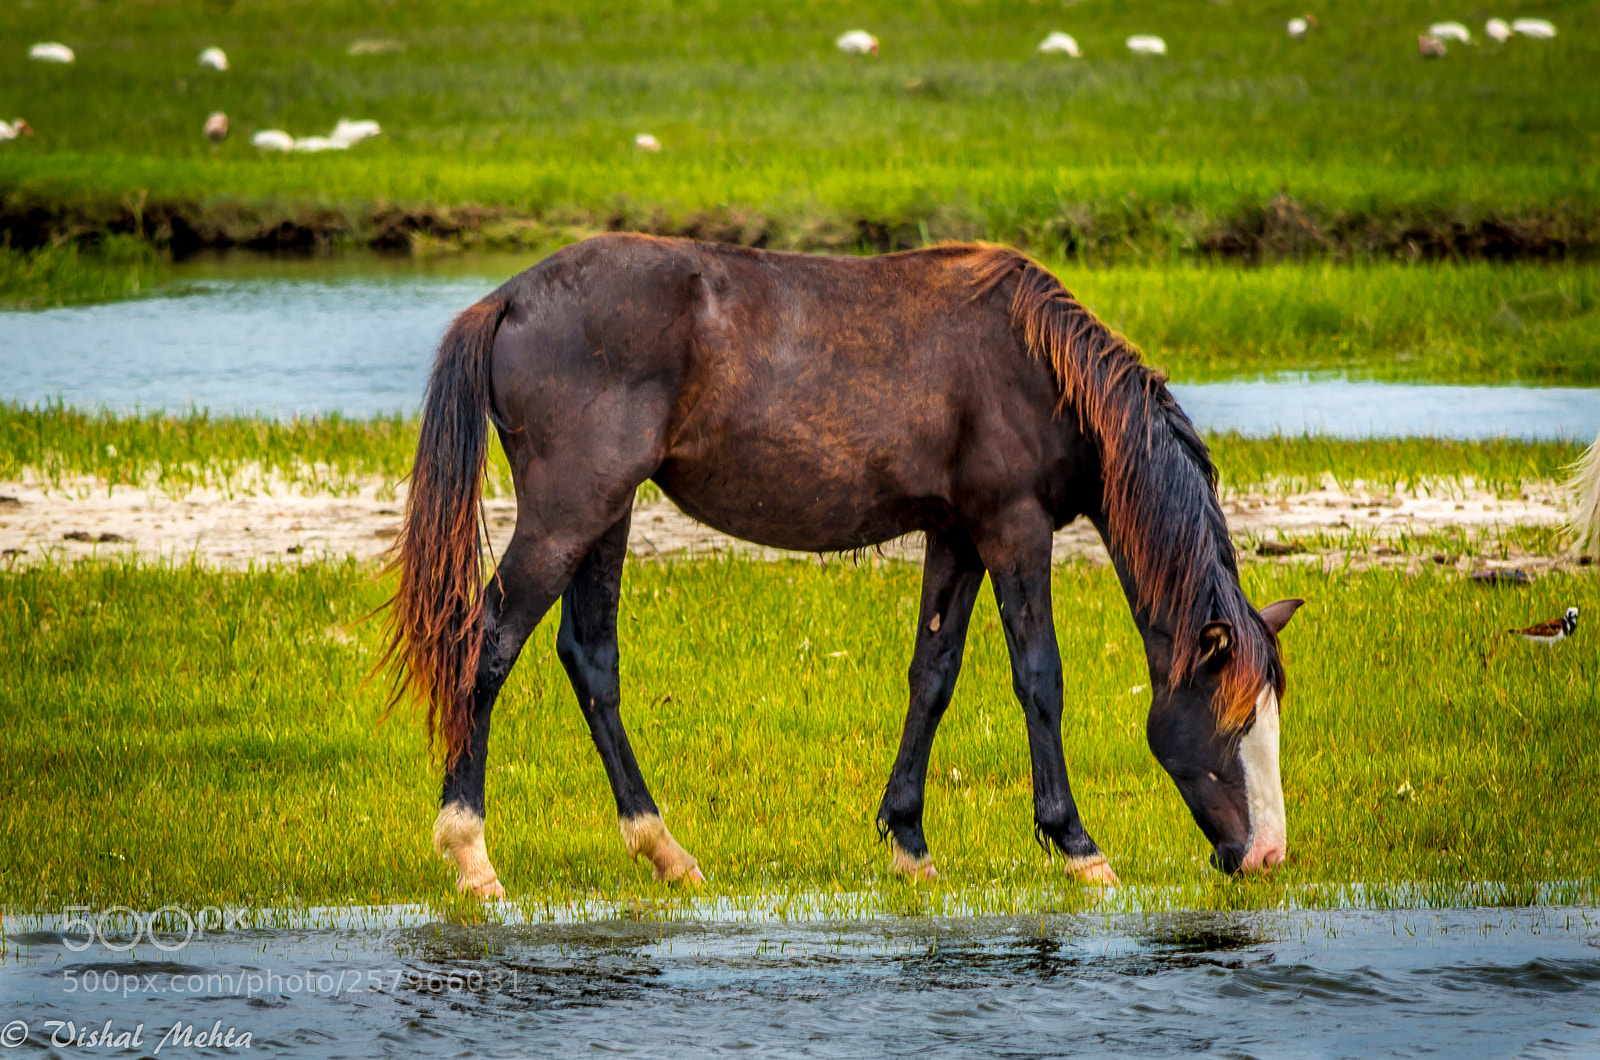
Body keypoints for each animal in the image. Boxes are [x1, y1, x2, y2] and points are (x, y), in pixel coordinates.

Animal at [382, 234, 1304, 897]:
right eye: (1232, 723)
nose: (1265, 857)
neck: (1041, 368)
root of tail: (509, 299)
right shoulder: (1013, 527)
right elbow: (1039, 676)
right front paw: (1077, 846)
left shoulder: (957, 535)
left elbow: (933, 676)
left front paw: (909, 841)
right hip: (567, 512)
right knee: (487, 645)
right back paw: (470, 853)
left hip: (604, 515)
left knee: (590, 659)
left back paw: (664, 850)